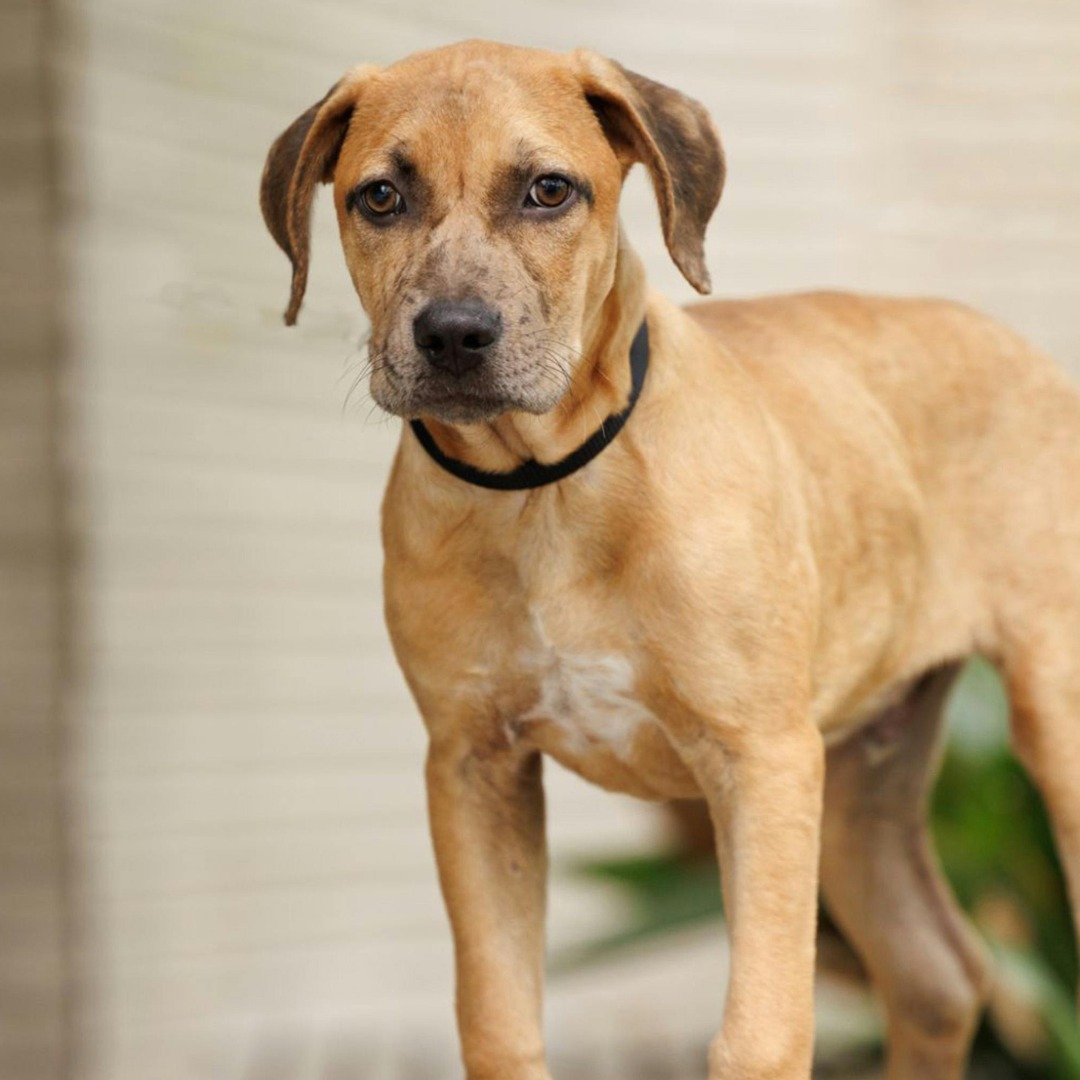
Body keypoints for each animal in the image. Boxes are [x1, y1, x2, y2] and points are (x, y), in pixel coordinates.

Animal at [261, 38, 1080, 1075]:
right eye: (379, 197)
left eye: (548, 190)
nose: (452, 333)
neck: (545, 491)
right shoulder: (471, 765)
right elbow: (498, 1019)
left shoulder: (761, 758)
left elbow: (761, 1032)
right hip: (865, 769)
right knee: (936, 973)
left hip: (1047, 718)